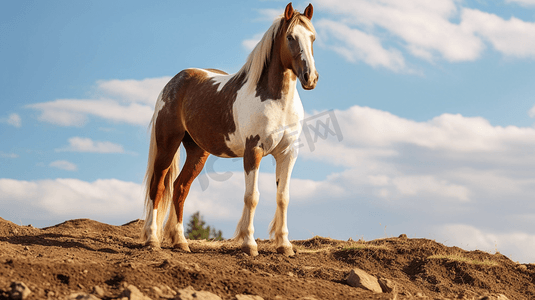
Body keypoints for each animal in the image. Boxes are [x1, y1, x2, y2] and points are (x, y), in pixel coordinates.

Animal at [141, 2, 318, 255]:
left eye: (313, 37)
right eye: (290, 37)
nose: (310, 77)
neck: (277, 102)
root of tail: (174, 81)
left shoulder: (288, 153)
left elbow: (283, 197)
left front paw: (284, 245)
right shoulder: (253, 151)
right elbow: (252, 196)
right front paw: (249, 244)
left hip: (197, 152)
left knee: (180, 188)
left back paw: (181, 241)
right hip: (168, 143)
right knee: (157, 186)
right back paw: (152, 239)